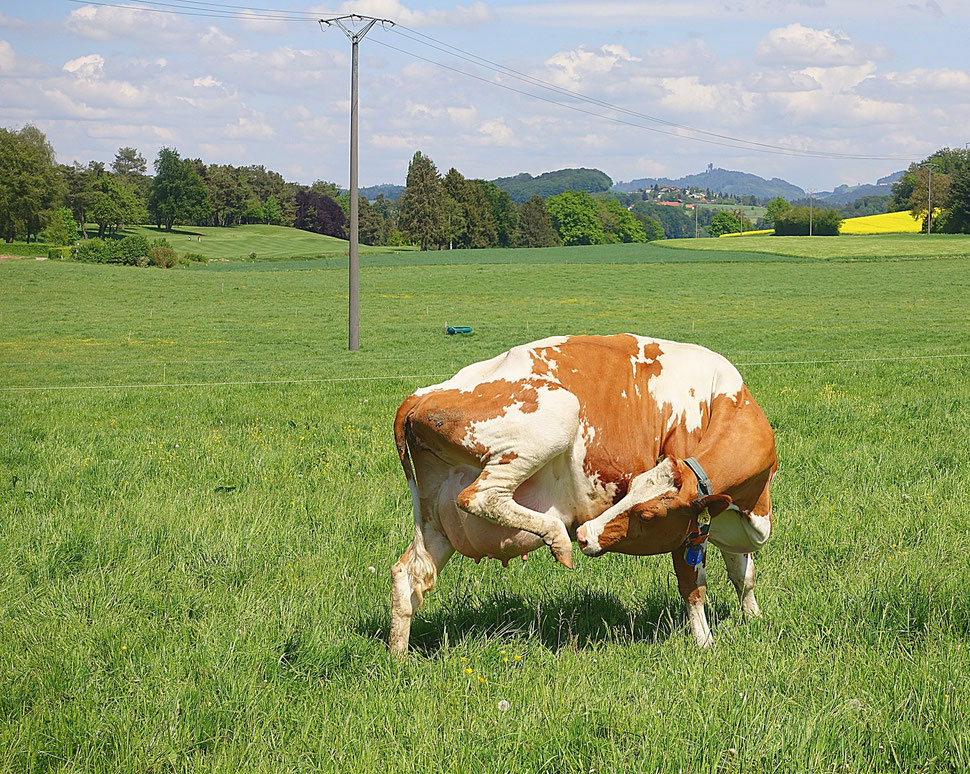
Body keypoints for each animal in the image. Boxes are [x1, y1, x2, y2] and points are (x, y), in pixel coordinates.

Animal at [390, 334, 776, 656]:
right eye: (631, 493)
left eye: (646, 512)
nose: (586, 534)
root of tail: (423, 393)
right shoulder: (690, 529)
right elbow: (693, 587)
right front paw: (705, 643)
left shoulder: (724, 515)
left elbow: (743, 574)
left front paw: (754, 619)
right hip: (558, 415)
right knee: (480, 496)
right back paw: (558, 537)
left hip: (436, 520)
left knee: (407, 574)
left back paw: (398, 658)